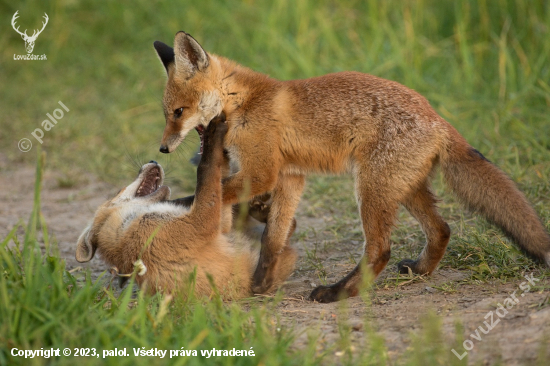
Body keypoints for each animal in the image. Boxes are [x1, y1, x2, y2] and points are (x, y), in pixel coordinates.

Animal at [75, 116, 298, 298]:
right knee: (285, 235)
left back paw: (259, 208)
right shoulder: (197, 225)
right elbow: (205, 171)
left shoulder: (218, 227)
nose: (151, 160)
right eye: (118, 190)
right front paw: (212, 136)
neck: (126, 234)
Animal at [152, 32, 550, 304]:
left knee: (381, 250)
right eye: (167, 113)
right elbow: (273, 238)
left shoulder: (264, 171)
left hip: (372, 189)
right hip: (404, 189)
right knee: (442, 229)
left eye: (179, 112)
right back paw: (420, 270)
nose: (163, 148)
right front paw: (262, 282)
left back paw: (339, 292)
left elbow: (211, 194)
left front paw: (178, 206)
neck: (242, 103)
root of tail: (439, 119)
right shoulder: (291, 176)